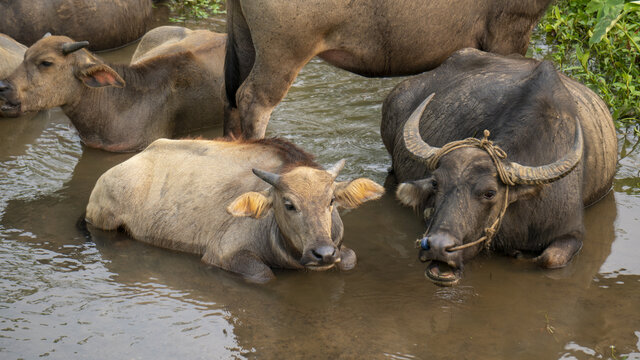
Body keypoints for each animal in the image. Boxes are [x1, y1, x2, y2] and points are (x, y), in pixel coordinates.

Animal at [85, 136, 384, 282]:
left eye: (331, 200)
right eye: (288, 204)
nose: (323, 253)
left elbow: (350, 258)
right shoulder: (221, 254)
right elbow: (264, 275)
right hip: (102, 221)